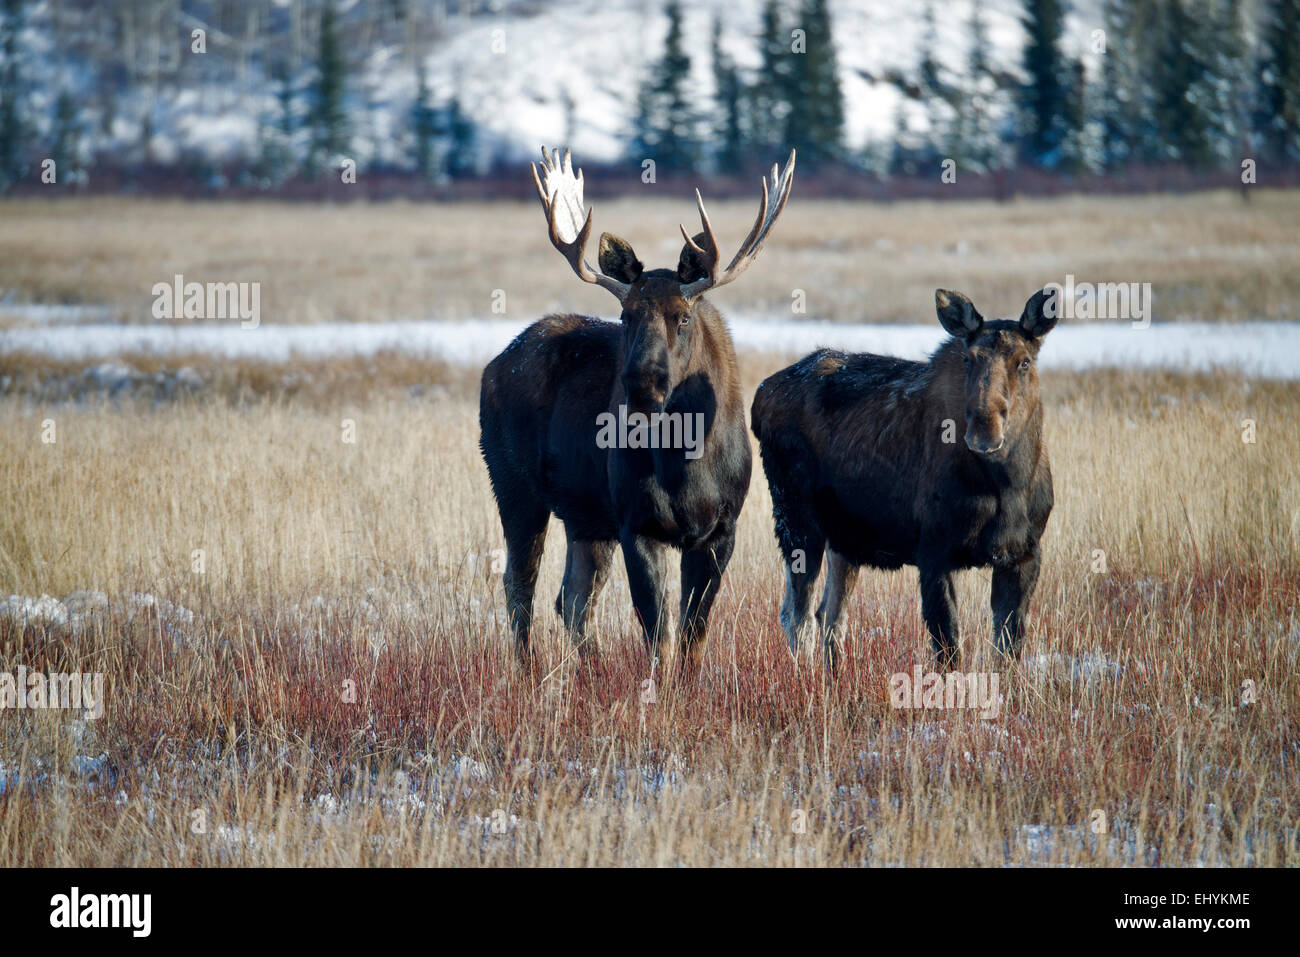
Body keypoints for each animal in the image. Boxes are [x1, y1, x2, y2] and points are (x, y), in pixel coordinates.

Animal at [483, 149, 795, 670]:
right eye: (626, 315)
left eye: (683, 317)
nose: (641, 383)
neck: (686, 463)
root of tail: (494, 364)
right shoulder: (637, 522)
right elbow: (659, 636)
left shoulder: (722, 528)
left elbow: (693, 634)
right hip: (514, 485)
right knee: (519, 585)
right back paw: (529, 671)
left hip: (586, 516)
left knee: (571, 599)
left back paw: (589, 671)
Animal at [748, 287, 1060, 670]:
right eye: (968, 359)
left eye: (1024, 361)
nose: (985, 430)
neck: (1007, 484)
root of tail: (760, 396)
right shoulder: (933, 551)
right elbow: (948, 647)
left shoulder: (1024, 553)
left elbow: (1008, 649)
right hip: (796, 519)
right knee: (796, 614)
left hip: (843, 537)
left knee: (829, 614)